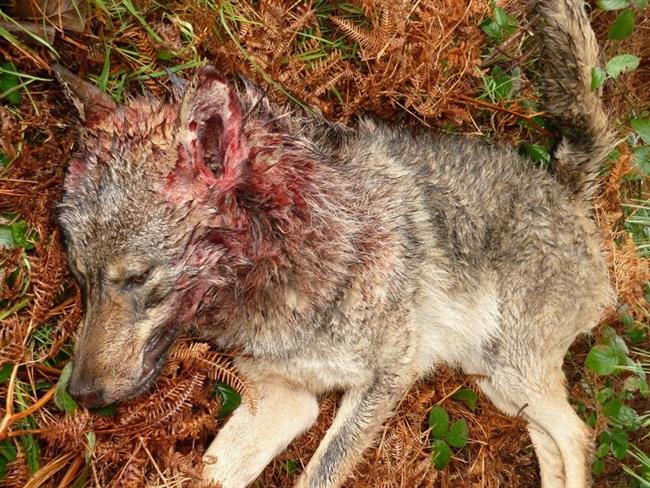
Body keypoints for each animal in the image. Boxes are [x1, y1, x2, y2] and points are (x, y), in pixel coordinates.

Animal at [56, 1, 613, 487]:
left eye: (137, 276)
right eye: (80, 277)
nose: (81, 394)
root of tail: (566, 189)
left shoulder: (386, 379)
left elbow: (317, 475)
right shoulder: (282, 398)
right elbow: (206, 474)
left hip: (511, 373)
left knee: (578, 435)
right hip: (498, 385)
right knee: (556, 443)